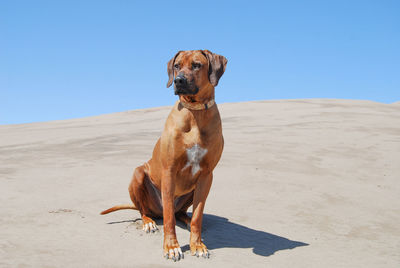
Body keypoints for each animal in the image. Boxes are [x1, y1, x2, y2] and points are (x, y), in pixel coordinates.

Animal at [101, 49, 228, 260]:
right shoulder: (169, 171)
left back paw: (186, 219)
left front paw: (197, 245)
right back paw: (148, 222)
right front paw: (171, 247)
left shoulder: (206, 175)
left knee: (181, 213)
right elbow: (169, 218)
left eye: (196, 65)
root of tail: (155, 211)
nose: (178, 80)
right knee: (147, 211)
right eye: (176, 66)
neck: (195, 113)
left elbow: (198, 215)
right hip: (138, 174)